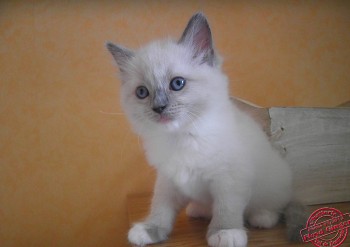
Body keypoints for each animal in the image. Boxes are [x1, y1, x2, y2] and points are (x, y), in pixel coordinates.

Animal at [107, 12, 306, 247]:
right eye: (142, 92)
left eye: (177, 83)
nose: (158, 108)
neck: (182, 136)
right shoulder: (168, 180)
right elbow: (160, 208)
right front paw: (149, 230)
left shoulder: (229, 179)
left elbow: (226, 209)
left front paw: (225, 232)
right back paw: (198, 210)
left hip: (274, 183)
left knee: (273, 207)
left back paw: (261, 217)